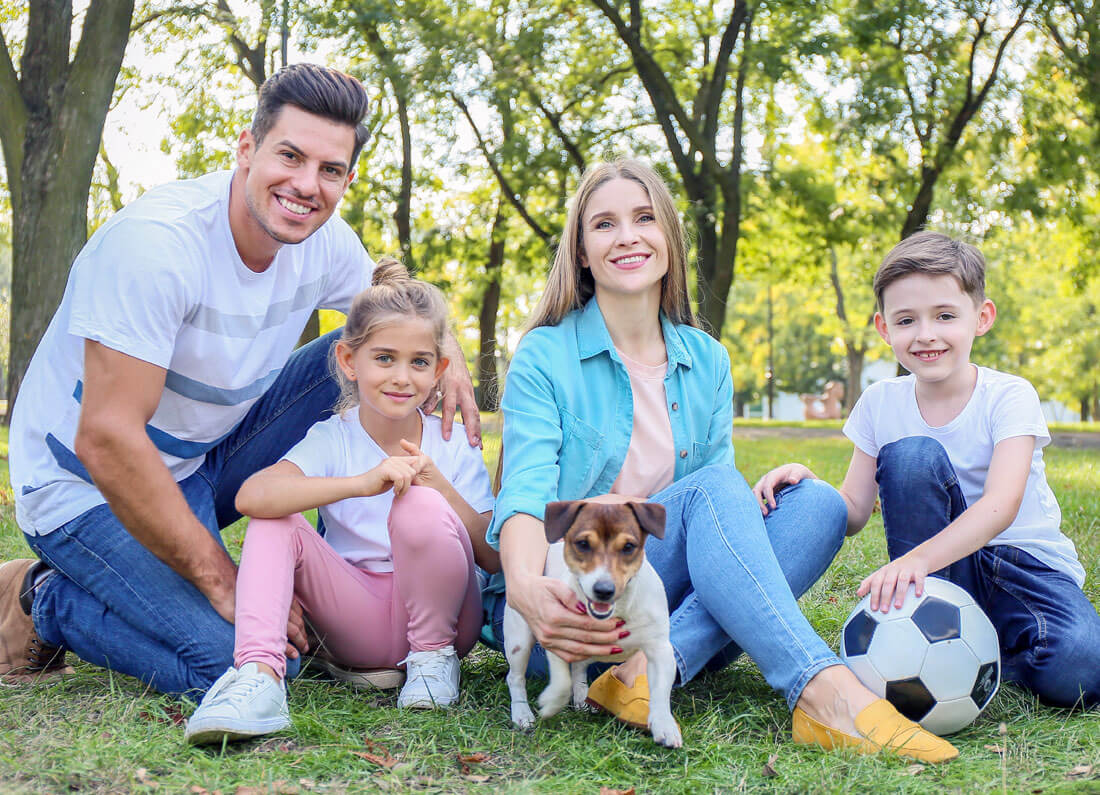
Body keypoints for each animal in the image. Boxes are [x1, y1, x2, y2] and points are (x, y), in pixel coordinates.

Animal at [503, 501, 677, 747]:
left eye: (628, 546)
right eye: (583, 544)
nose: (604, 590)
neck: (619, 611)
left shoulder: (660, 649)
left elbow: (661, 690)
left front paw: (665, 725)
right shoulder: (556, 637)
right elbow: (562, 682)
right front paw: (551, 704)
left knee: (578, 668)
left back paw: (581, 698)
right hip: (519, 640)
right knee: (515, 677)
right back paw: (521, 713)